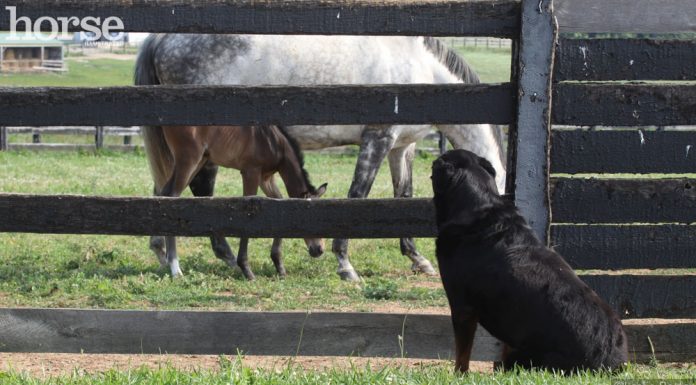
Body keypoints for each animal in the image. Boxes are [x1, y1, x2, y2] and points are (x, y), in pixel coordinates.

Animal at [141, 123, 328, 280]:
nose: (319, 249)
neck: (272, 140)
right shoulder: (251, 172)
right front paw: (246, 269)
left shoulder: (266, 178)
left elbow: (279, 203)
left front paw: (279, 265)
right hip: (188, 160)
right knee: (171, 196)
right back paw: (175, 268)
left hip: (199, 161)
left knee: (164, 193)